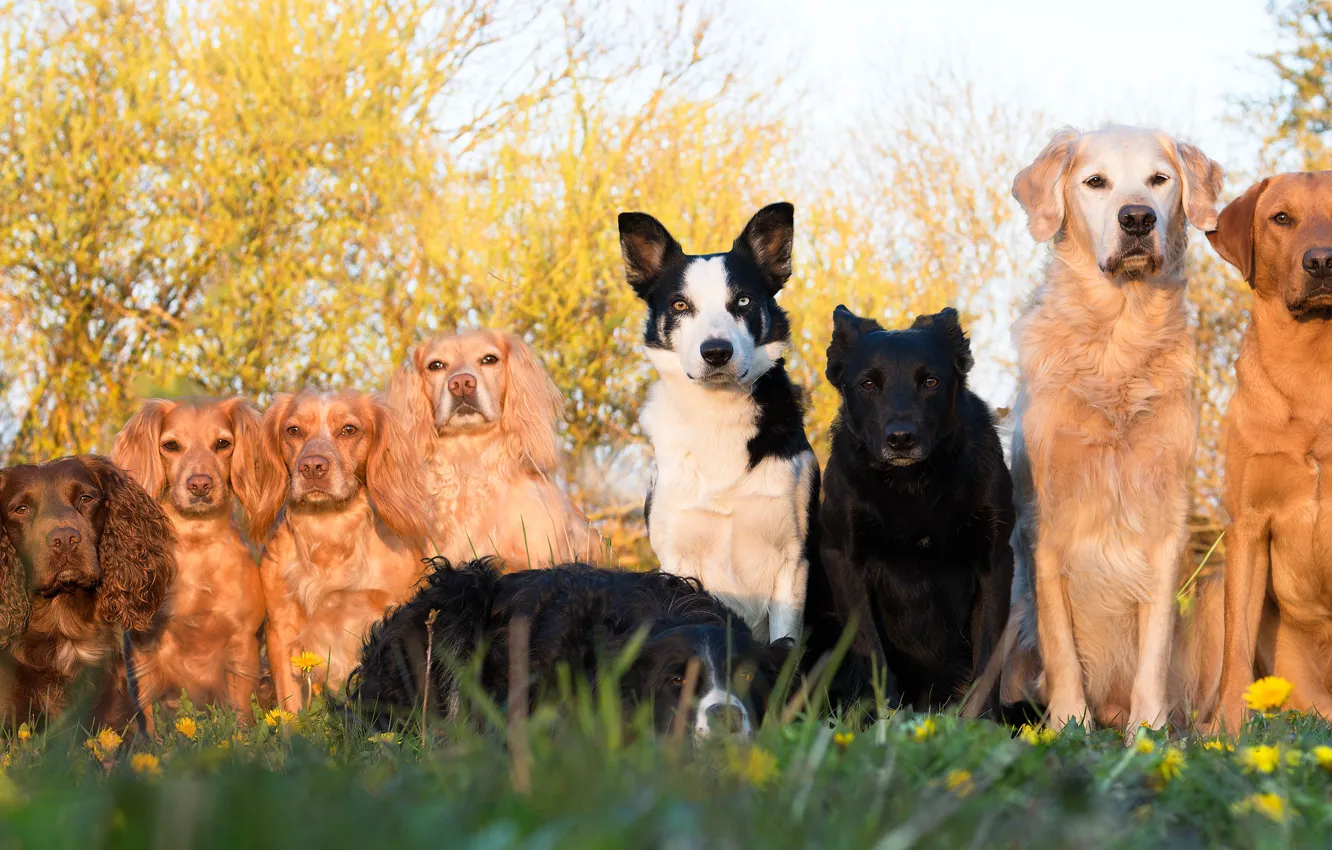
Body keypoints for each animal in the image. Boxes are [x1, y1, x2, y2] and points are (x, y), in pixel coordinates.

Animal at [615, 205, 820, 644]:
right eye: (679, 305)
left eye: (742, 300)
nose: (716, 352)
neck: (719, 414)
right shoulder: (677, 558)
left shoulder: (793, 561)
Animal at [804, 306, 1012, 719]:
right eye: (868, 385)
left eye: (930, 381)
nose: (901, 439)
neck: (913, 485)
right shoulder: (843, 558)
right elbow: (870, 650)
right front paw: (882, 721)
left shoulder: (995, 560)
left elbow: (988, 660)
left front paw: (982, 724)